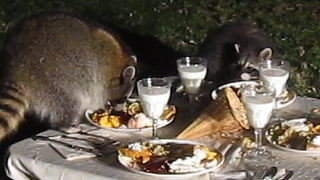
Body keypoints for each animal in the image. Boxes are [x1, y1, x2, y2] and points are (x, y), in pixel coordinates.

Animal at [0, 12, 136, 141]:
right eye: (124, 98)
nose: (119, 112)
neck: (117, 64)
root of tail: (18, 70)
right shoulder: (98, 75)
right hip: (53, 79)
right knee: (69, 100)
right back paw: (65, 125)